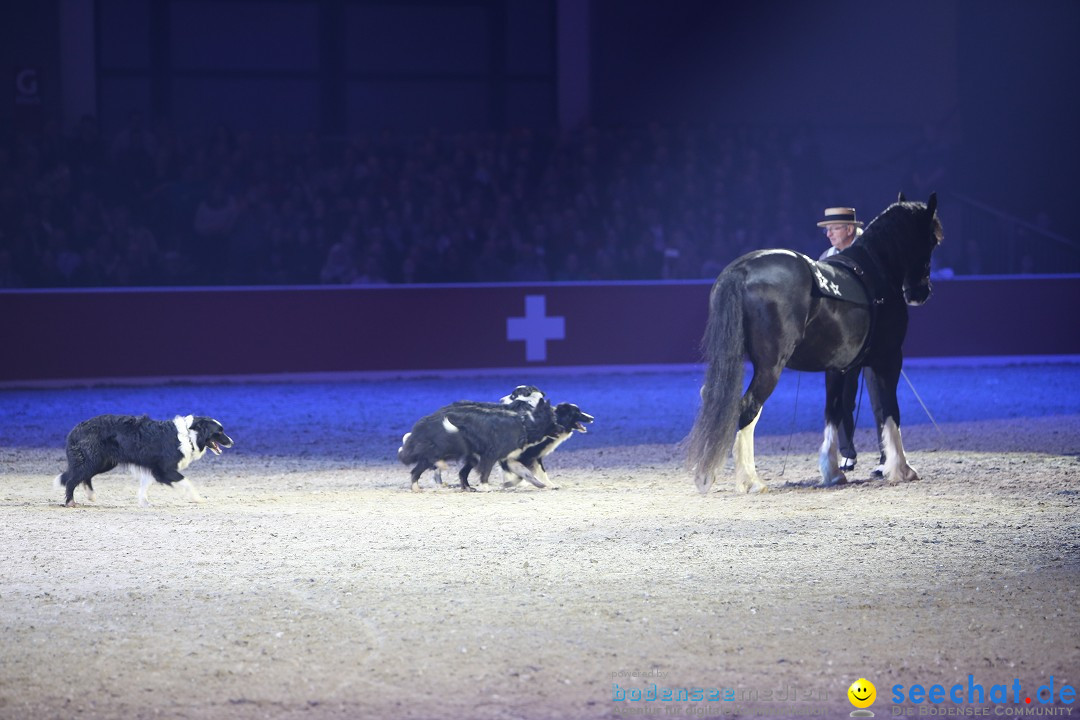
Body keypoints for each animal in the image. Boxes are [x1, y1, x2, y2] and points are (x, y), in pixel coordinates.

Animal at [53, 414, 233, 509]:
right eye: (219, 432)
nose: (232, 442)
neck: (189, 435)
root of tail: (75, 429)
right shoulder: (165, 470)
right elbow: (186, 482)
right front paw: (198, 498)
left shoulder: (152, 468)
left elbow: (144, 486)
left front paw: (144, 502)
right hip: (92, 460)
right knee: (72, 480)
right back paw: (70, 502)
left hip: (104, 462)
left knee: (85, 477)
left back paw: (91, 495)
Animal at [686, 194, 941, 492]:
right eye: (931, 239)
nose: (919, 292)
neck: (877, 271)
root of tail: (742, 269)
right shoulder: (889, 360)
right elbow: (891, 411)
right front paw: (902, 468)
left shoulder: (838, 367)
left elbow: (833, 413)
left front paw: (833, 472)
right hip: (771, 367)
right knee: (747, 408)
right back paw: (750, 481)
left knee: (717, 401)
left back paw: (707, 476)